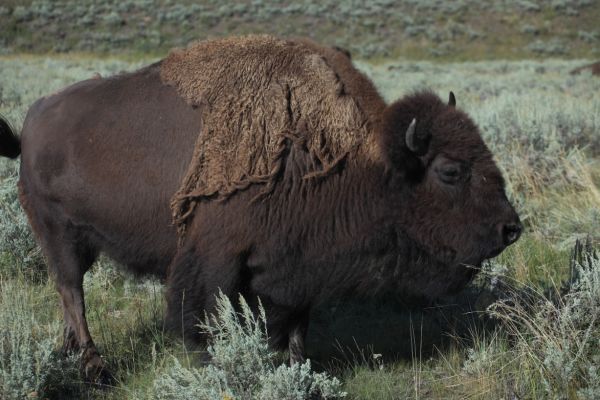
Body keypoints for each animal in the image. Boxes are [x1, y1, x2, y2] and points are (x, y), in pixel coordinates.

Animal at [0, 36, 520, 382]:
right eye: (450, 171)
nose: (511, 229)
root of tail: (32, 120)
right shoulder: (215, 258)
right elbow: (206, 315)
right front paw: (215, 364)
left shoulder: (298, 263)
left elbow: (294, 320)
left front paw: (298, 365)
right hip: (60, 234)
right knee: (73, 293)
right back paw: (96, 366)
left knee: (68, 296)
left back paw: (72, 355)